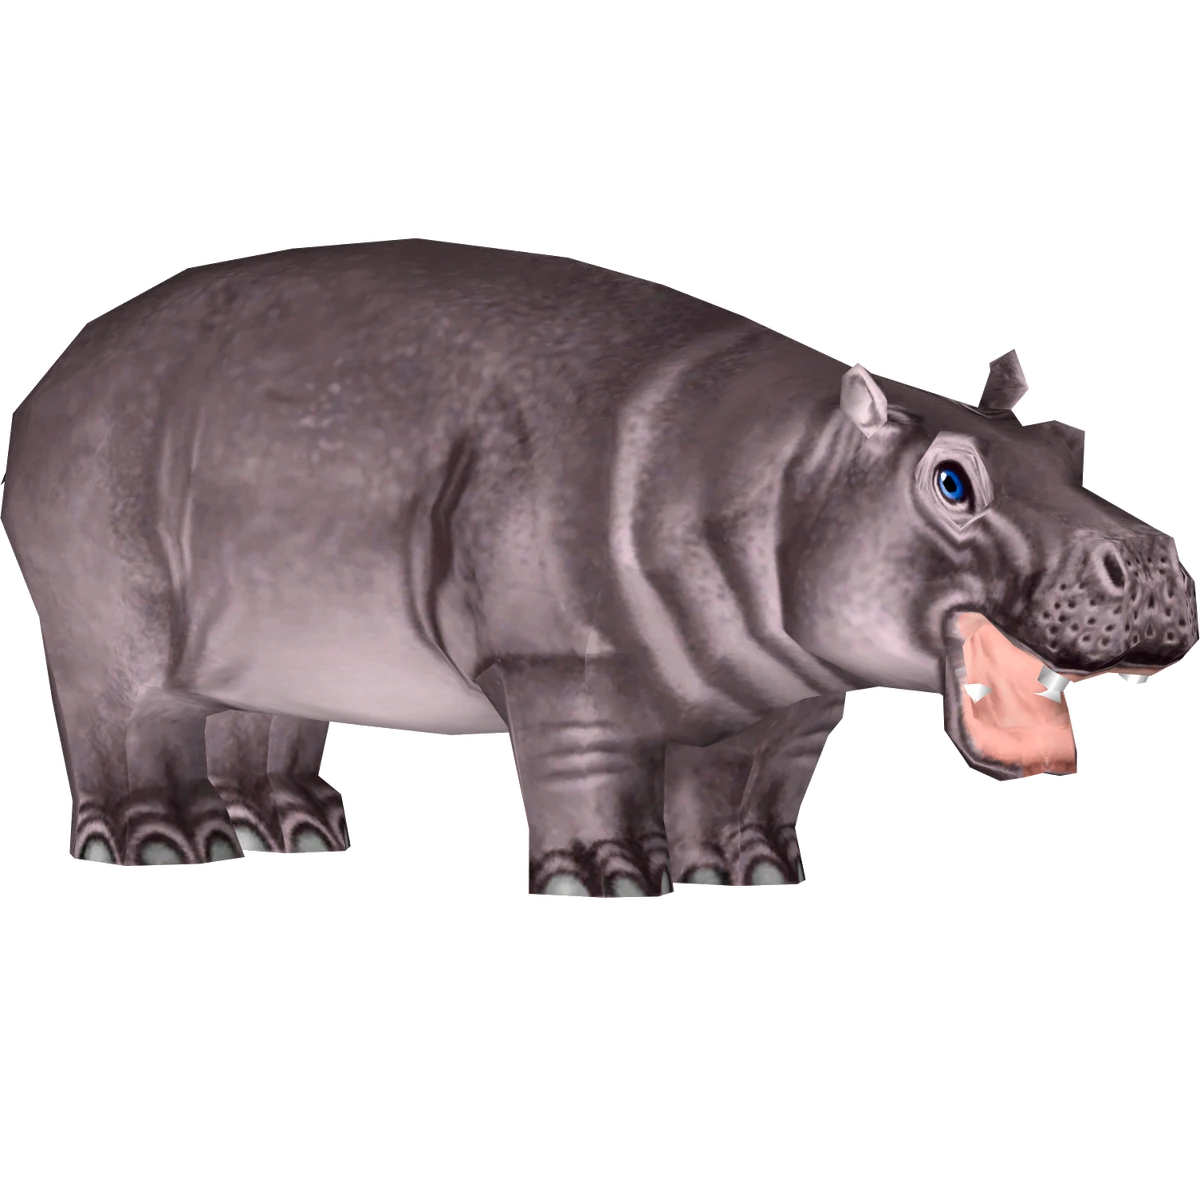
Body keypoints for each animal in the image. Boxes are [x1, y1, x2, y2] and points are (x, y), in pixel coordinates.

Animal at [2, 238, 1195, 891]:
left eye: (1070, 442)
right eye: (950, 480)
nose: (1150, 559)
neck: (785, 469)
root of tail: (53, 379)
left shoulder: (781, 703)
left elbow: (744, 786)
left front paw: (755, 872)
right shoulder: (560, 665)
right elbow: (581, 772)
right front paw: (609, 881)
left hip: (279, 642)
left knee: (260, 721)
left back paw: (293, 826)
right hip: (108, 616)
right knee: (125, 724)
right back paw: (167, 843)